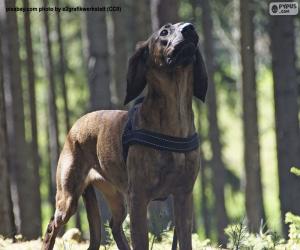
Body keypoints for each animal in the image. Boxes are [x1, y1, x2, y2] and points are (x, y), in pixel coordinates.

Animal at [41, 23, 206, 250]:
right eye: (164, 32)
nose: (190, 28)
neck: (175, 114)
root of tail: (74, 127)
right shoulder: (139, 198)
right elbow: (141, 241)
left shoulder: (184, 196)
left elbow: (184, 240)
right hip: (68, 198)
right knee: (52, 226)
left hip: (116, 197)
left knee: (114, 224)